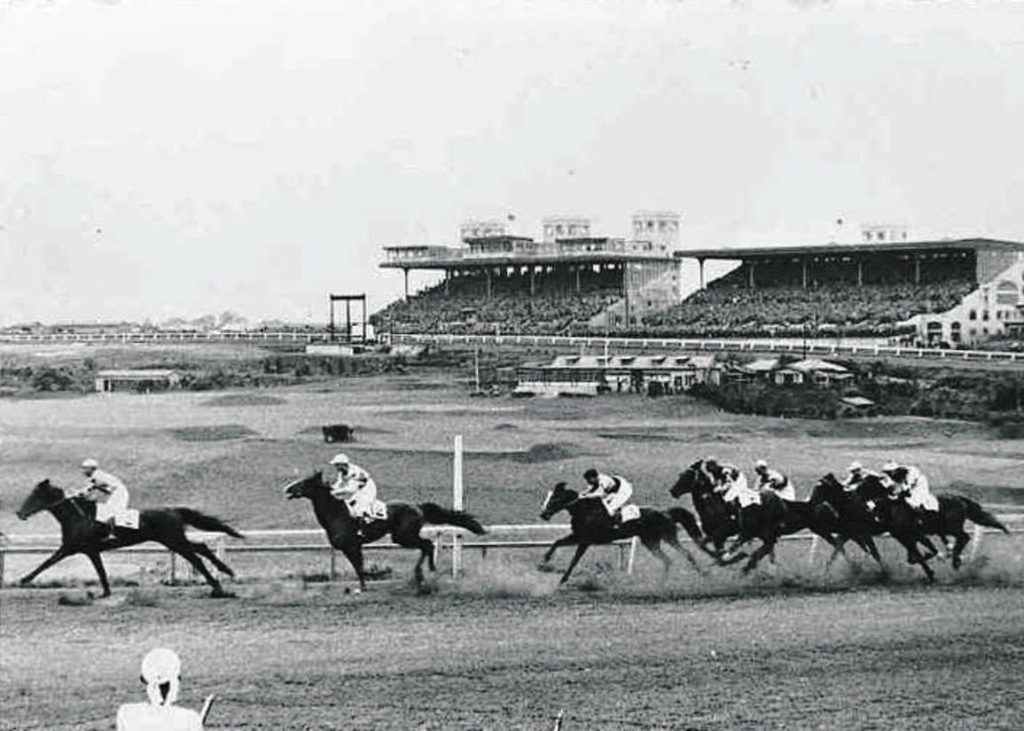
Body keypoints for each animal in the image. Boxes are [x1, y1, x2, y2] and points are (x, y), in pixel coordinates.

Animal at [15, 479, 242, 598]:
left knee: (196, 556)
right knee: (201, 547)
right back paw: (225, 573)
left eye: (34, 496)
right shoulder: (90, 551)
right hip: (173, 539)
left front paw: (24, 579)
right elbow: (101, 571)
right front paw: (105, 592)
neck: (78, 516)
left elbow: (46, 562)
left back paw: (218, 585)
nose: (19, 513)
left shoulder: (71, 548)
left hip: (173, 540)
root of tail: (174, 510)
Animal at [283, 472, 486, 591]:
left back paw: (425, 572)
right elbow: (358, 567)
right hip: (402, 536)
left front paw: (363, 588)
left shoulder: (352, 546)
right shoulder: (350, 548)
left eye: (305, 483)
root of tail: (418, 506)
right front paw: (361, 586)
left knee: (427, 545)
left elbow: (359, 567)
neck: (337, 514)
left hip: (404, 536)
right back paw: (422, 575)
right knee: (426, 546)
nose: (287, 488)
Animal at [538, 482, 706, 585]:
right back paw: (662, 583)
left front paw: (562, 579)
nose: (543, 514)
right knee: (669, 560)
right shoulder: (578, 536)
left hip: (667, 537)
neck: (585, 510)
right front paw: (544, 561)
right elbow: (557, 542)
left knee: (686, 553)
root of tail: (666, 513)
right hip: (651, 541)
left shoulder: (585, 540)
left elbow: (574, 560)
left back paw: (703, 575)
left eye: (555, 498)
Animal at [669, 460, 842, 574]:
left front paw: (735, 558)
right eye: (680, 474)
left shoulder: (721, 534)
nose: (673, 491)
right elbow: (704, 546)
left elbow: (720, 554)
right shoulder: (715, 535)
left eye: (685, 476)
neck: (712, 503)